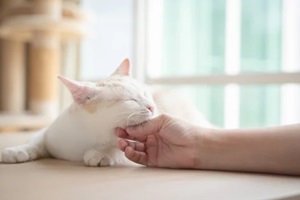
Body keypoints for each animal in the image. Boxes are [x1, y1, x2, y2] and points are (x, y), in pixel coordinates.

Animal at [1, 58, 211, 166]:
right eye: (131, 100)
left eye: (146, 94)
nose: (152, 106)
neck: (90, 136)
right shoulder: (48, 132)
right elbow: (36, 141)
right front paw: (17, 150)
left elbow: (120, 149)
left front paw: (101, 154)